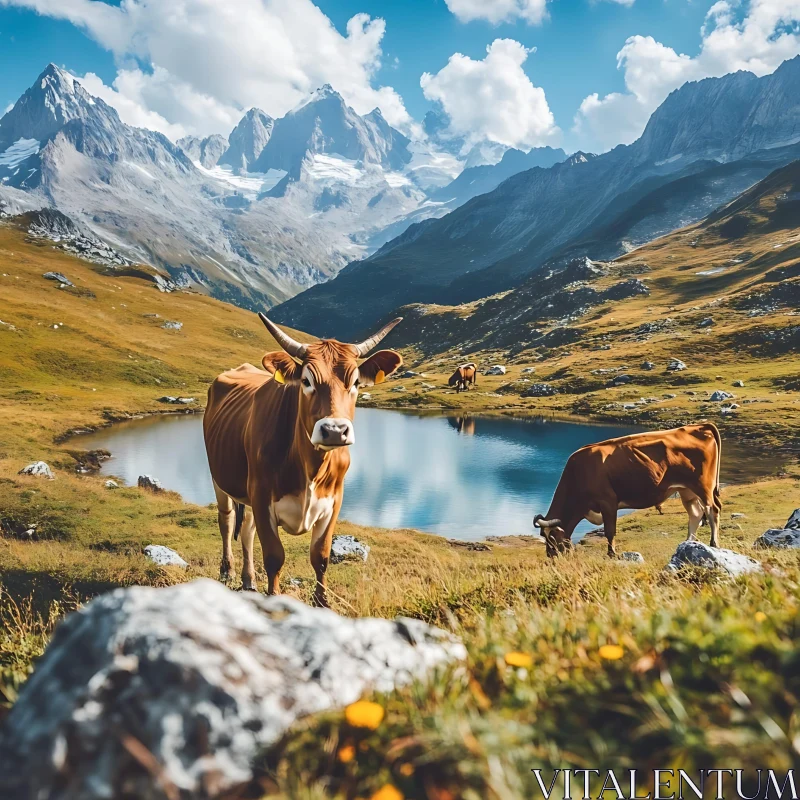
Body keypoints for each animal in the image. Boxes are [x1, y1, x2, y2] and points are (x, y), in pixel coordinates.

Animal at [205, 312, 404, 608]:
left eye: (356, 383)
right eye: (307, 381)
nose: (334, 430)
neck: (310, 468)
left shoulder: (334, 500)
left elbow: (320, 556)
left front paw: (322, 602)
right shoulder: (262, 496)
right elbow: (274, 557)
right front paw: (274, 598)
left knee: (248, 529)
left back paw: (249, 580)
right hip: (220, 480)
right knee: (227, 522)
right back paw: (227, 571)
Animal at [536, 424, 720, 556]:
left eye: (551, 537)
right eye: (543, 537)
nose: (551, 555)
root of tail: (698, 426)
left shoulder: (608, 502)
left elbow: (610, 531)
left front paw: (611, 554)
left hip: (703, 487)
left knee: (713, 510)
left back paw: (714, 543)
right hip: (686, 489)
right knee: (695, 514)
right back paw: (687, 543)